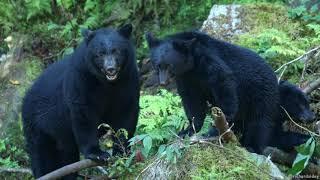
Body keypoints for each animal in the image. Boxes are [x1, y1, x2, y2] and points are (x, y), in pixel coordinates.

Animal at [21, 24, 139, 179]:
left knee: (66, 156)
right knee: (42, 157)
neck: (107, 84)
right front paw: (97, 153)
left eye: (116, 50)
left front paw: (122, 150)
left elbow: (126, 113)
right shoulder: (81, 79)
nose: (110, 69)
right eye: (100, 54)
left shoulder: (129, 79)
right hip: (38, 126)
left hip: (62, 138)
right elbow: (83, 113)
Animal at [146, 30, 278, 153]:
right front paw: (187, 130)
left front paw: (215, 129)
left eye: (170, 65)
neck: (192, 64)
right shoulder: (186, 78)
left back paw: (252, 146)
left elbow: (223, 83)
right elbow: (192, 100)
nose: (163, 82)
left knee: (260, 121)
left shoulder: (209, 61)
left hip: (261, 93)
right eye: (157, 65)